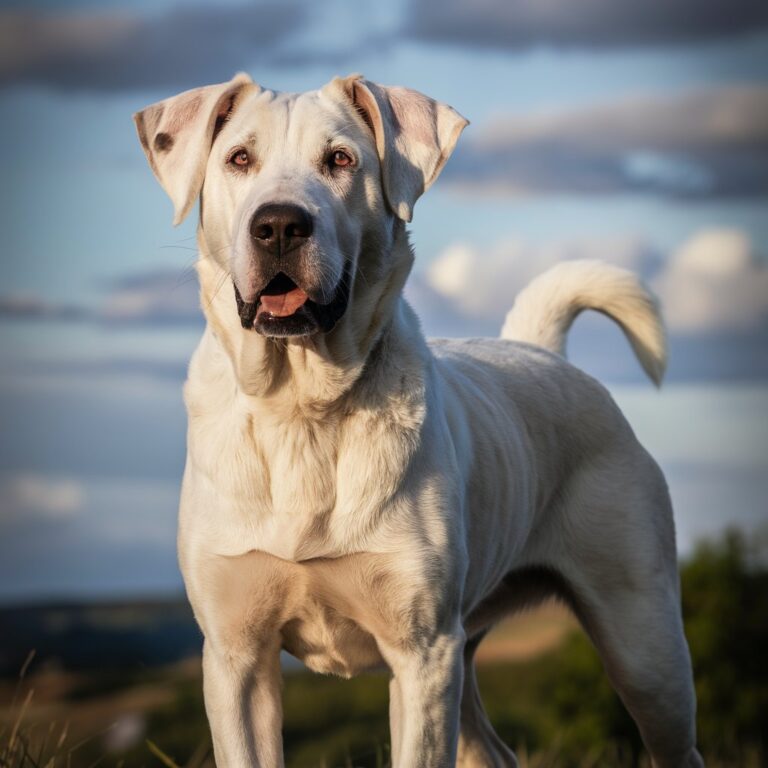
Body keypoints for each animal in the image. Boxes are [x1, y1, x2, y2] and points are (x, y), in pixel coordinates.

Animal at [136, 73, 704, 768]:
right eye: (239, 158)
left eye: (340, 160)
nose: (279, 225)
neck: (302, 409)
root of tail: (543, 352)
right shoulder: (236, 658)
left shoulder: (422, 652)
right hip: (473, 650)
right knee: (497, 753)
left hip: (641, 640)